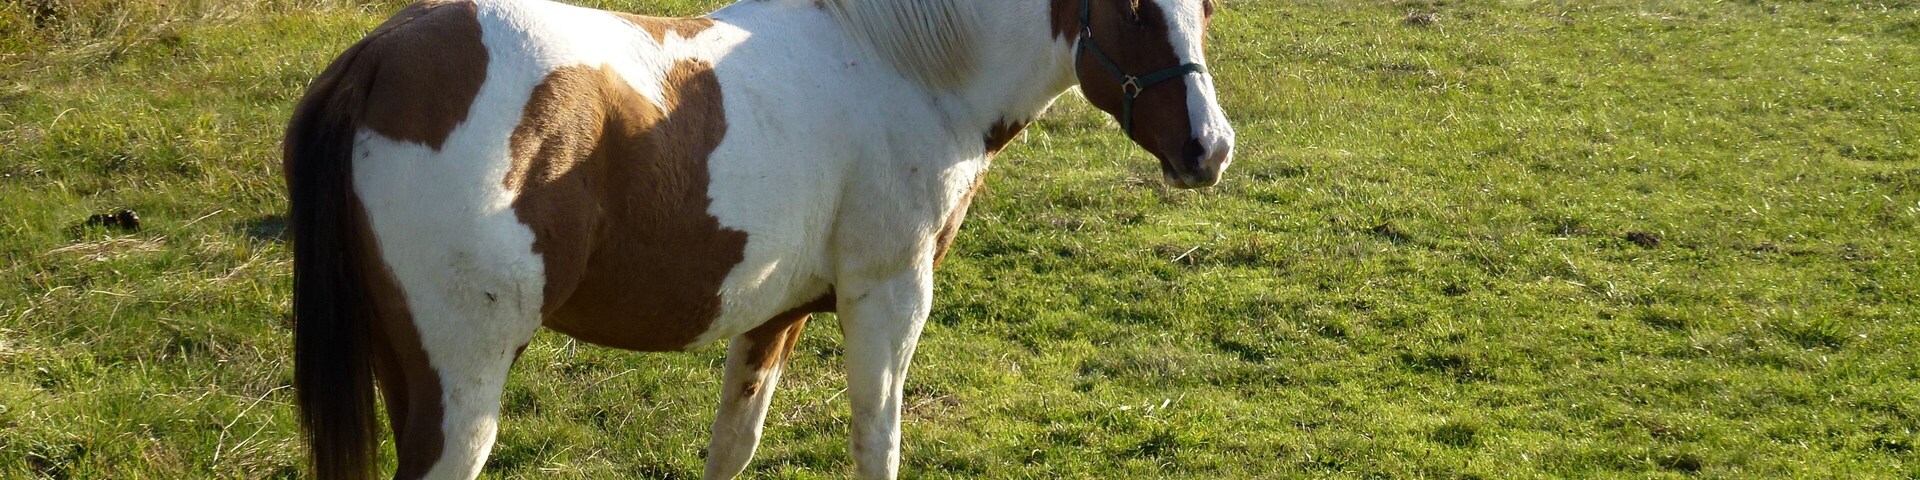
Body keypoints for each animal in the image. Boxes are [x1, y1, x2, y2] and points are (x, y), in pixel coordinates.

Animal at [282, 0, 1233, 477]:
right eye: (1135, 8)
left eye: (1207, 6)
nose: (1210, 148)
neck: (902, 66)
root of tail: (379, 58)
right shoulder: (888, 299)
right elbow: (876, 439)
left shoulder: (775, 314)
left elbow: (733, 447)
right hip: (461, 389)